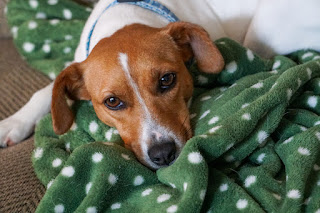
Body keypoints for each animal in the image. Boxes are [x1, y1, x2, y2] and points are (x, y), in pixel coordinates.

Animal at [0, 0, 320, 170]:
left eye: (167, 80)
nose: (163, 154)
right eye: (112, 102)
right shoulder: (76, 62)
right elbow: (47, 90)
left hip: (261, 29)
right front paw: (14, 122)